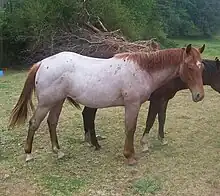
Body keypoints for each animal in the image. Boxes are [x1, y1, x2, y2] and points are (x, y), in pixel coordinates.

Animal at [8, 43, 205, 165]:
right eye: (189, 67)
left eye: (201, 67)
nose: (199, 95)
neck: (143, 70)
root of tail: (42, 63)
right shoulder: (132, 105)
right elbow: (130, 128)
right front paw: (130, 156)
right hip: (46, 103)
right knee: (34, 123)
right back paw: (28, 155)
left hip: (58, 101)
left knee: (52, 122)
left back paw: (58, 152)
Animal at [81, 56, 220, 152]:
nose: (199, 96)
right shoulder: (156, 100)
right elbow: (150, 120)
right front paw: (145, 144)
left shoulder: (164, 100)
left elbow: (162, 118)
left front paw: (162, 139)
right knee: (89, 115)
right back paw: (95, 143)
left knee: (86, 114)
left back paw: (89, 141)